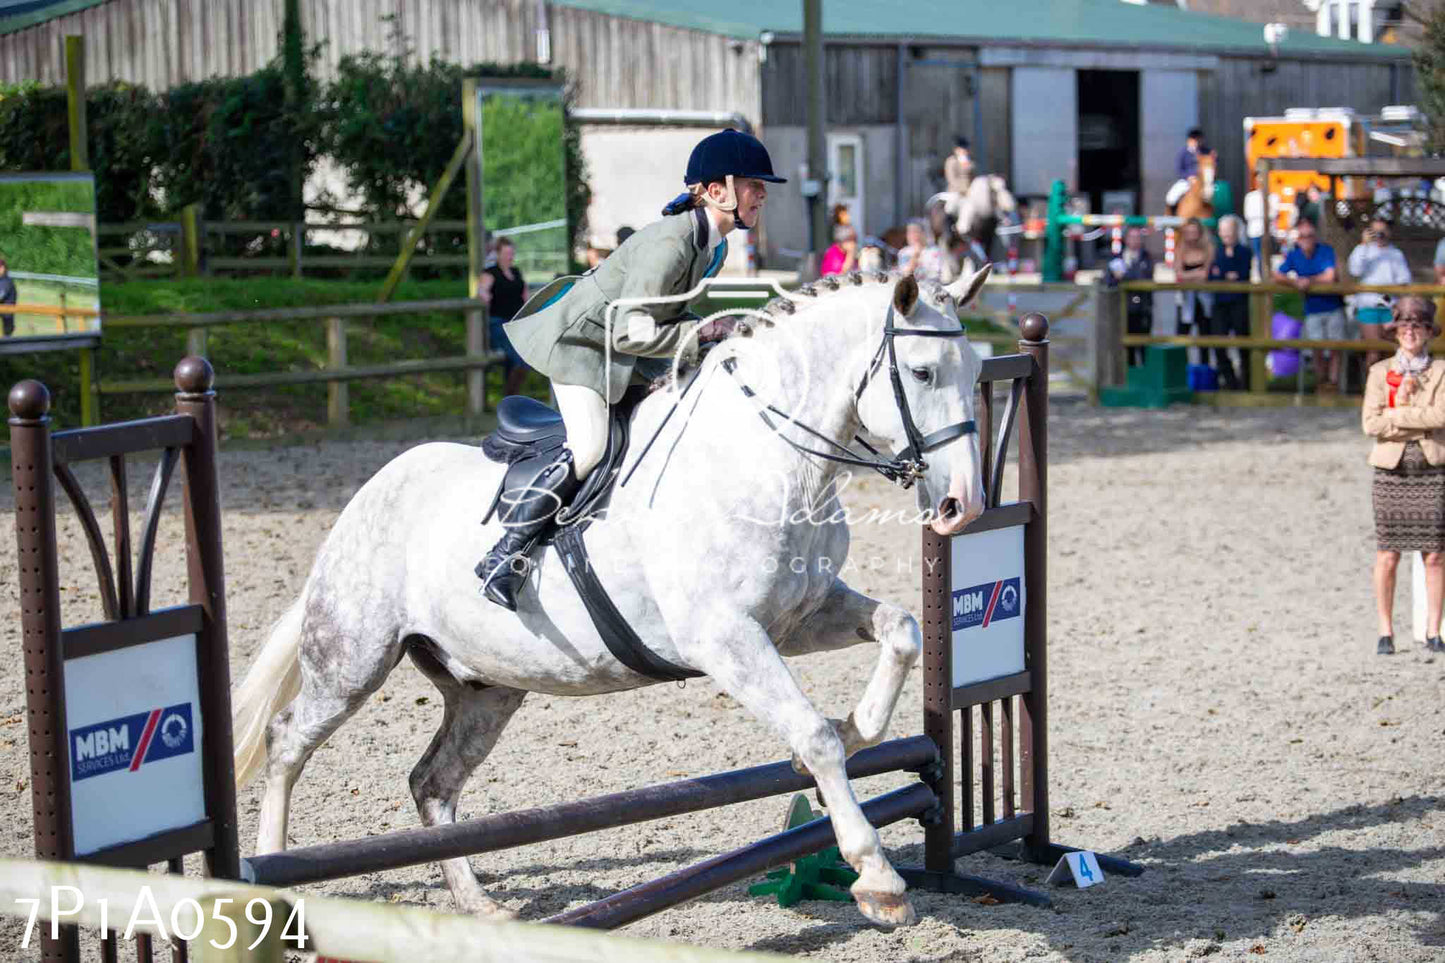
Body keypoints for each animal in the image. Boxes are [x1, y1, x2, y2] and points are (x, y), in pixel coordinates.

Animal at [231, 266, 994, 925]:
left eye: (977, 371)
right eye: (922, 372)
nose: (962, 505)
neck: (771, 456)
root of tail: (368, 494)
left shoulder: (797, 618)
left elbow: (900, 631)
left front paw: (854, 728)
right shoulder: (725, 638)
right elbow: (811, 733)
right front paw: (877, 879)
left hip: (485, 688)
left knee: (433, 783)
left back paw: (479, 905)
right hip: (352, 659)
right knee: (287, 741)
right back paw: (273, 880)